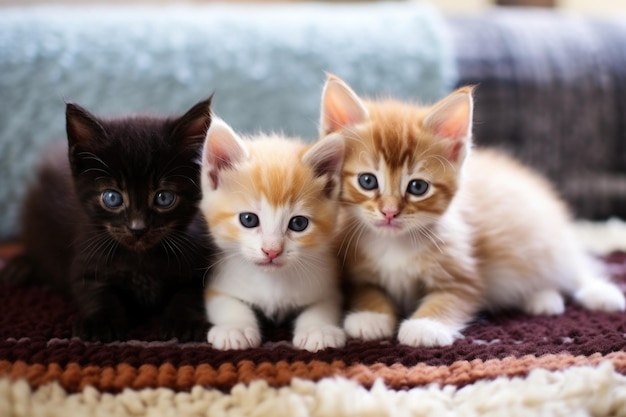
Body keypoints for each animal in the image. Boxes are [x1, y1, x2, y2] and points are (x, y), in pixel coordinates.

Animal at [1, 96, 214, 342]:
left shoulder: (200, 258)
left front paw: (184, 320)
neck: (140, 260)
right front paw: (100, 321)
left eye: (164, 197)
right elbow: (96, 292)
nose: (138, 228)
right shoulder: (87, 255)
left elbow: (191, 293)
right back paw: (21, 266)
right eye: (112, 198)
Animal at [200, 115, 346, 350]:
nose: (271, 251)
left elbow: (322, 307)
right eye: (248, 219)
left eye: (298, 223)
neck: (273, 281)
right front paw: (235, 328)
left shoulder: (327, 284)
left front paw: (318, 330)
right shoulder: (220, 282)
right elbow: (227, 304)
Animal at [322, 75, 624, 348]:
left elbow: (450, 299)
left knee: (575, 268)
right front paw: (369, 316)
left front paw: (425, 326)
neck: (395, 243)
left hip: (546, 243)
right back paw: (542, 298)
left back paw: (600, 293)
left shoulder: (465, 273)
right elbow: (366, 290)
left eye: (418, 187)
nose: (389, 213)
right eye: (367, 181)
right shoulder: (357, 270)